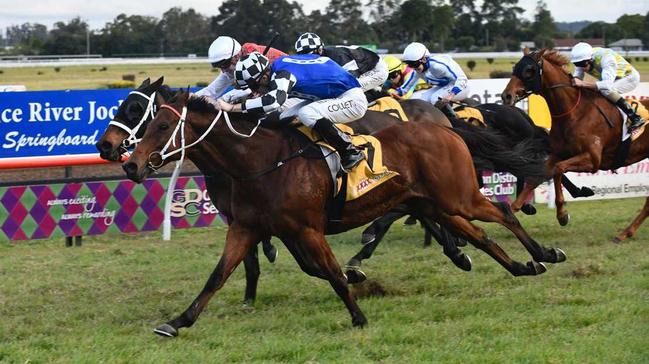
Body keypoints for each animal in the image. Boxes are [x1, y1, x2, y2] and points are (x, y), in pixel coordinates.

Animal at [123, 91, 568, 338]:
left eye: (160, 126)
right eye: (147, 123)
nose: (132, 165)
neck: (261, 161)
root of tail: (448, 128)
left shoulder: (307, 229)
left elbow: (333, 273)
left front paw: (358, 315)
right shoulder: (248, 228)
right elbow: (217, 276)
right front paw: (177, 321)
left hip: (457, 195)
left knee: (503, 213)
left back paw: (545, 253)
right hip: (432, 202)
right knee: (479, 236)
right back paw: (523, 266)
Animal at [502, 49, 648, 242]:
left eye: (529, 70)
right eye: (515, 67)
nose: (506, 96)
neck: (574, 112)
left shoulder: (592, 160)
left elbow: (558, 169)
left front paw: (562, 214)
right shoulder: (557, 154)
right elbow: (537, 177)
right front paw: (513, 209)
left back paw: (625, 233)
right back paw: (626, 232)